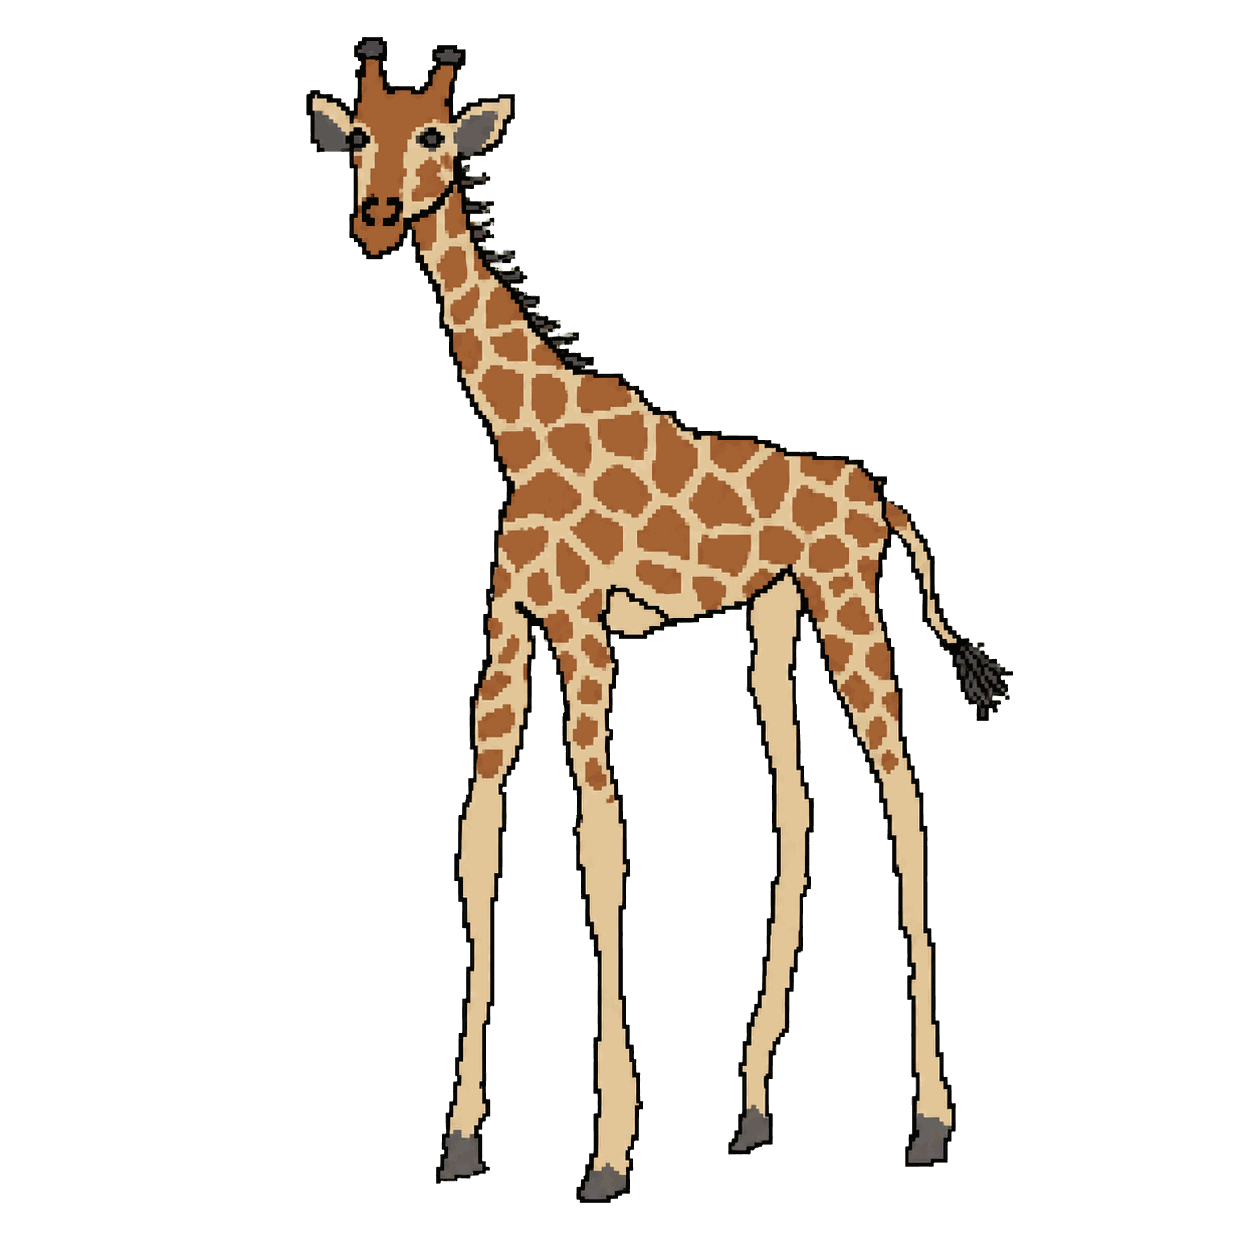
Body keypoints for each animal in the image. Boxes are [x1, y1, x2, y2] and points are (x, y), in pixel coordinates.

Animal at [311, 44, 1007, 1199]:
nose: (375, 217)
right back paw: (754, 1106)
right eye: (361, 134)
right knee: (798, 806)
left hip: (846, 597)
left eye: (437, 137)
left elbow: (602, 837)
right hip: (776, 617)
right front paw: (460, 1133)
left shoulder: (584, 628)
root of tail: (877, 495)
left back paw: (932, 1117)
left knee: (901, 791)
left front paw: (609, 1146)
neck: (522, 433)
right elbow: (477, 836)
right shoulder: (508, 628)